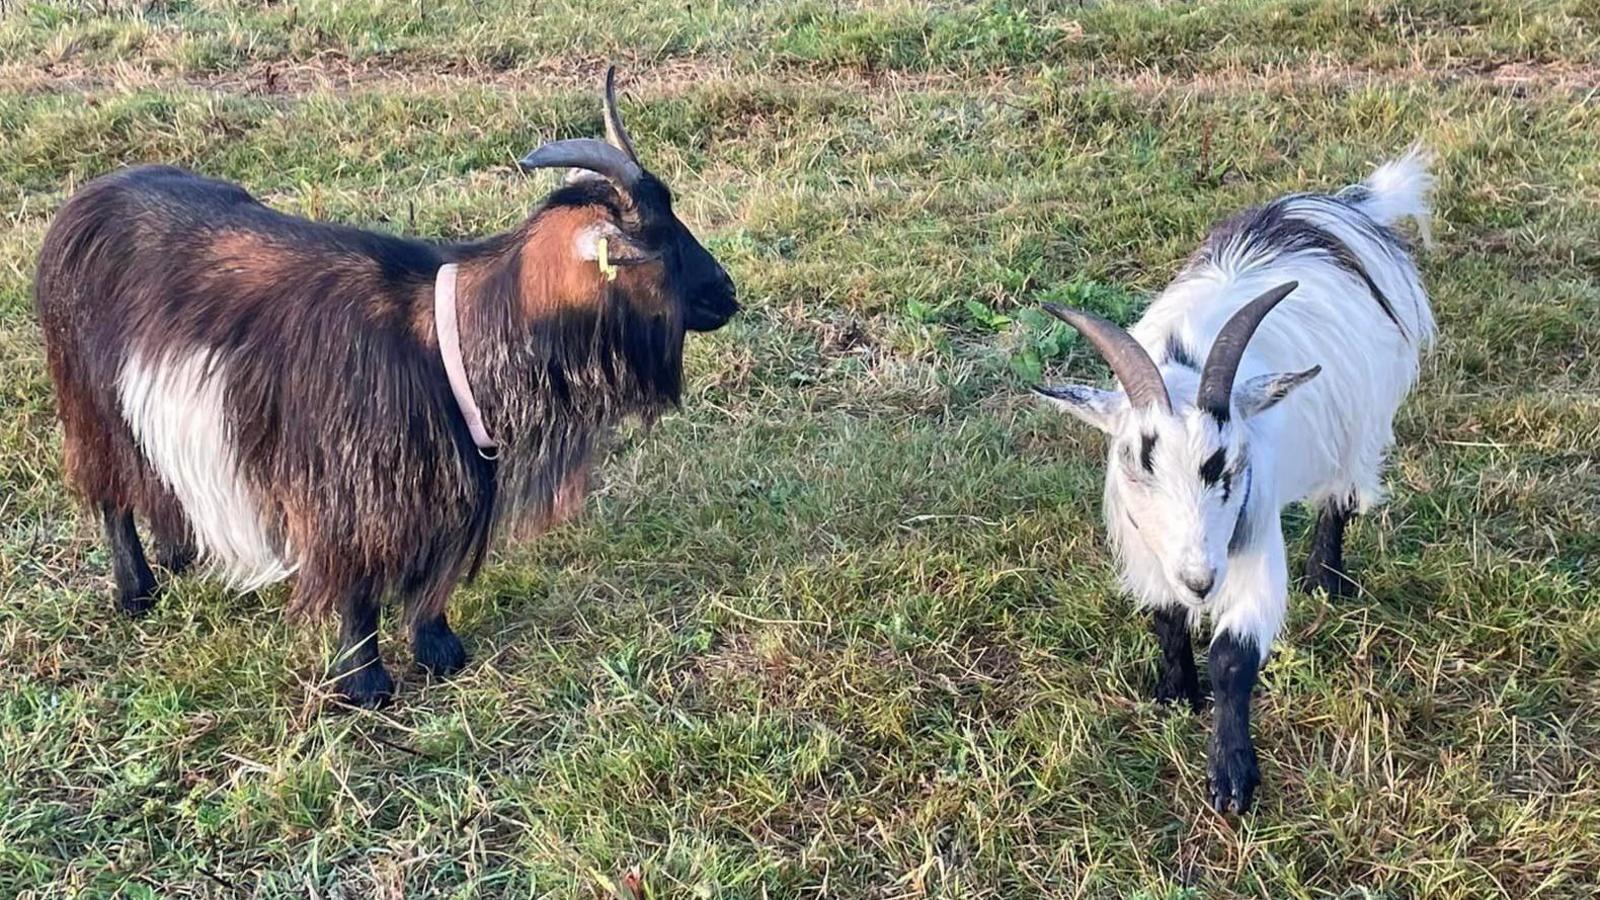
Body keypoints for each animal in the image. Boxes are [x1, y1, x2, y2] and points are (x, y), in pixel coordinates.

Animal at [1036, 143, 1440, 810]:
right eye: (1138, 461)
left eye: (1227, 465)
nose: (1201, 581)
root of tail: (1331, 210)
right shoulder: (1150, 549)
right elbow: (1165, 616)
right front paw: (1176, 694)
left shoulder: (1252, 537)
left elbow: (1233, 655)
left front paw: (1231, 777)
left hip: (1363, 426)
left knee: (1340, 497)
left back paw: (1326, 579)